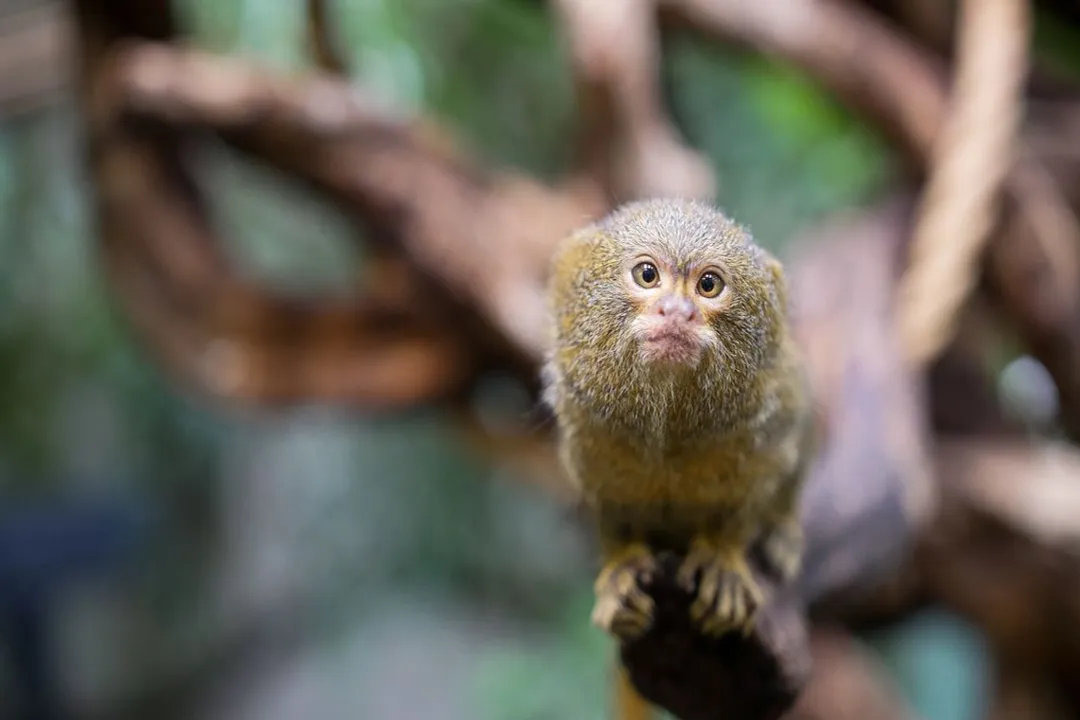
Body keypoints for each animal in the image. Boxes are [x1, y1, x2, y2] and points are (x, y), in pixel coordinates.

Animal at [541, 197, 814, 641]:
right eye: (647, 275)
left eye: (709, 285)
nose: (676, 312)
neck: (668, 431)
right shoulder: (587, 437)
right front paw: (621, 564)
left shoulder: (771, 422)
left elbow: (751, 497)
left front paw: (723, 557)